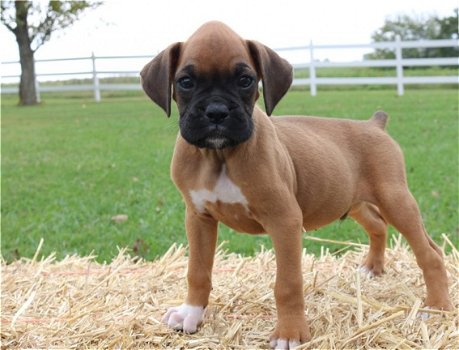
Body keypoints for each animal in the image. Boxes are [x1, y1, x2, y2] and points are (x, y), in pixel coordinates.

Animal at [141, 21, 452, 348]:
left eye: (245, 80)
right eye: (185, 82)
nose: (216, 112)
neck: (220, 155)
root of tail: (374, 124)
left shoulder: (285, 221)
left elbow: (288, 283)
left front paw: (289, 333)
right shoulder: (198, 218)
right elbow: (197, 271)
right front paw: (190, 313)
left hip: (395, 200)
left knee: (430, 252)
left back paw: (437, 307)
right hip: (353, 201)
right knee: (378, 226)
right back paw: (372, 268)